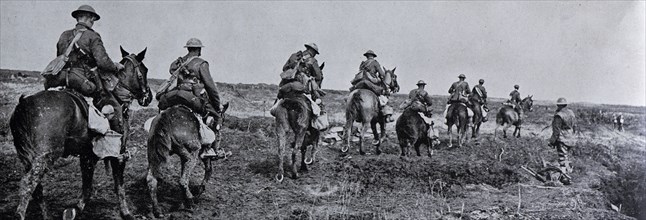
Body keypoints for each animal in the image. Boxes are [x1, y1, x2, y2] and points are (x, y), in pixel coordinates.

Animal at [9, 46, 153, 220]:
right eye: (144, 70)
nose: (149, 96)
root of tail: (23, 104)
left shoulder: (87, 156)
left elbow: (87, 186)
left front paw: (75, 209)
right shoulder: (118, 155)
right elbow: (119, 185)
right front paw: (126, 213)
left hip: (28, 158)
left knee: (36, 189)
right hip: (43, 157)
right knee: (27, 185)